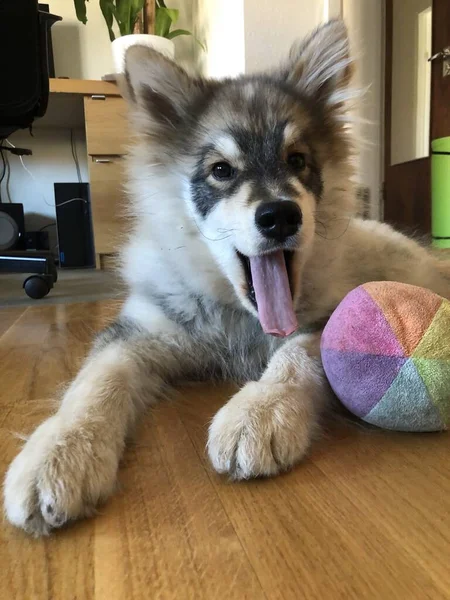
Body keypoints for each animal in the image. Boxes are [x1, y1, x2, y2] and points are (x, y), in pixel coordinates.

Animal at [3, 18, 450, 536]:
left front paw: (260, 411)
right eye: (221, 170)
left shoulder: (327, 319)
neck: (236, 317)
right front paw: (57, 453)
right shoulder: (136, 332)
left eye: (297, 161)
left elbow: (297, 355)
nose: (280, 216)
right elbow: (93, 384)